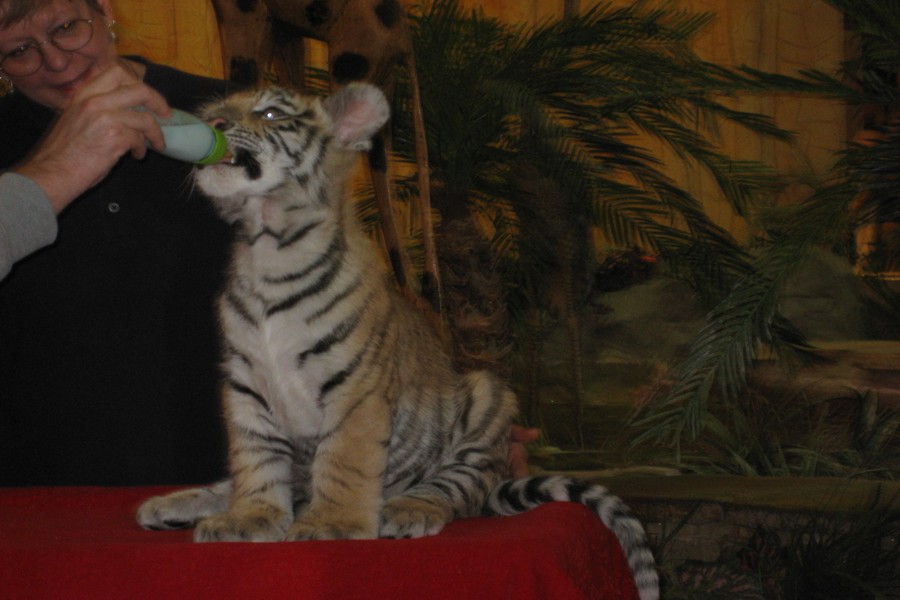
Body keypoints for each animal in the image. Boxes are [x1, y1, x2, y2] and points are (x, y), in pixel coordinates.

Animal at [136, 83, 659, 600]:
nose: (215, 125)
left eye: (268, 113)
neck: (266, 248)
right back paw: (176, 504)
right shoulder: (244, 386)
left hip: (486, 396)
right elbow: (255, 459)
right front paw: (250, 517)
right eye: (215, 110)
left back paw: (408, 508)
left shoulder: (355, 387)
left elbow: (343, 460)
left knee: (457, 486)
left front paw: (331, 525)